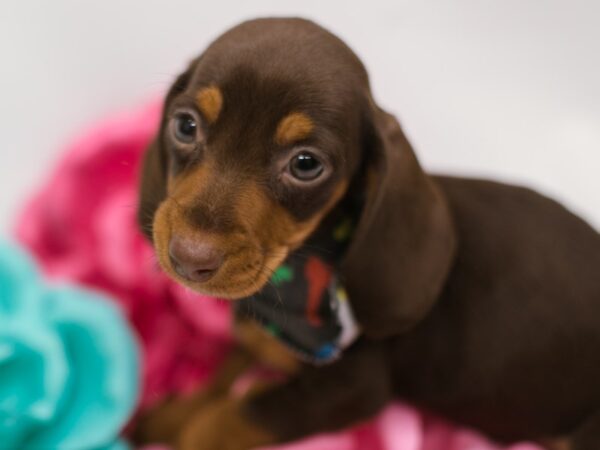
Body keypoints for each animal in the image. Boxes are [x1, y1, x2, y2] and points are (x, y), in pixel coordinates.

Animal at [134, 15, 600, 448]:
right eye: (185, 125)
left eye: (306, 164)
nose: (189, 258)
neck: (293, 278)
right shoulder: (256, 333)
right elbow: (220, 376)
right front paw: (165, 419)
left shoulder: (352, 388)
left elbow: (223, 419)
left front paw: (187, 429)